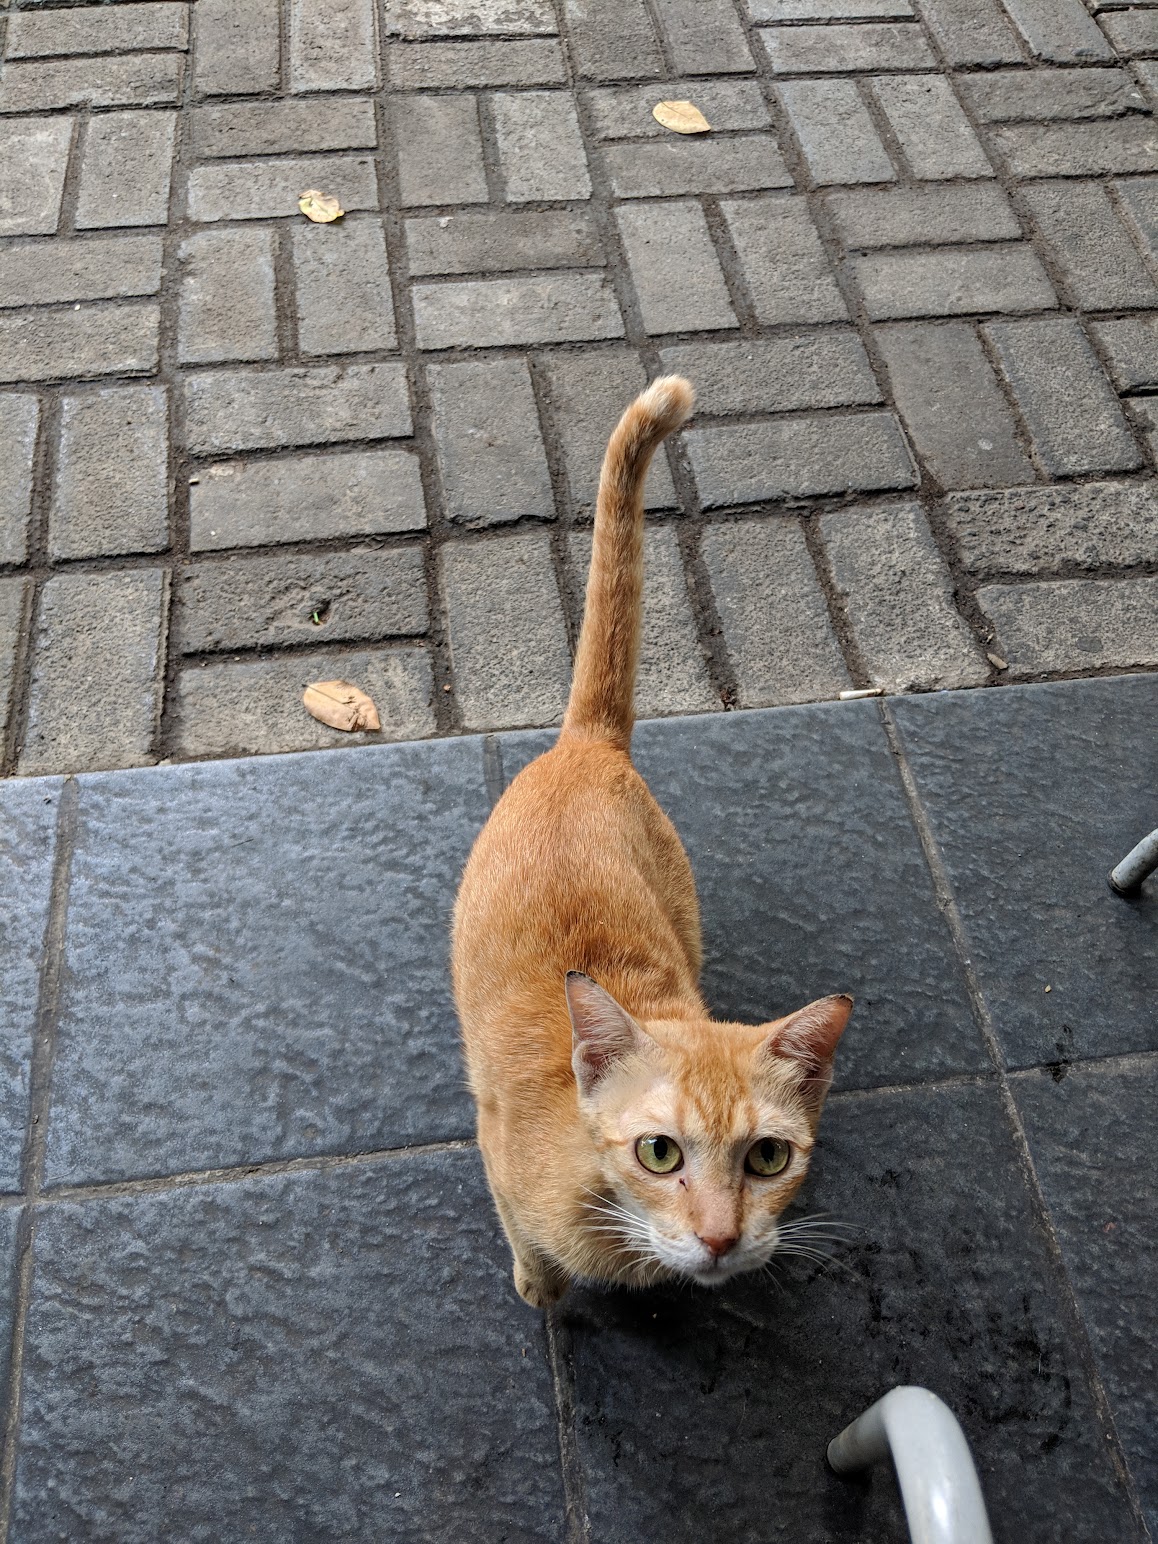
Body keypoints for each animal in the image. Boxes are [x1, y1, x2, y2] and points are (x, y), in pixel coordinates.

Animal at [451, 375, 852, 1308]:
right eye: (659, 1153)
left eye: (768, 1157)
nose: (720, 1237)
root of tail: (587, 743)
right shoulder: (498, 1161)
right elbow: (523, 1238)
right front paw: (540, 1286)